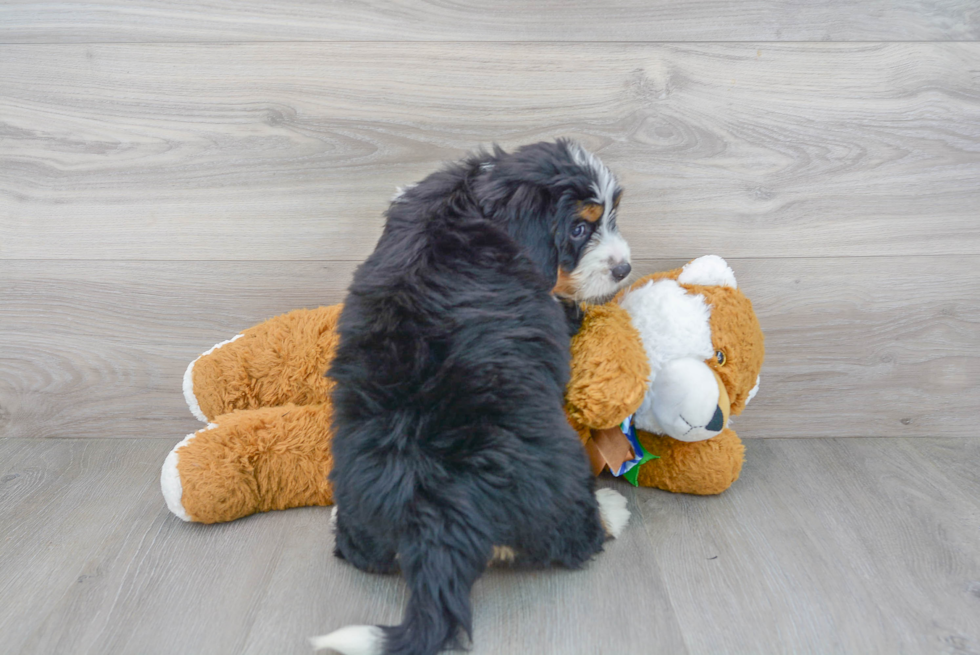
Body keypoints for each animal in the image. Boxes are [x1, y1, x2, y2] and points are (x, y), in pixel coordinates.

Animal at [314, 138, 636, 655]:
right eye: (579, 228)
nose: (624, 268)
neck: (479, 199)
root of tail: (434, 510)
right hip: (561, 464)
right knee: (573, 536)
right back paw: (609, 511)